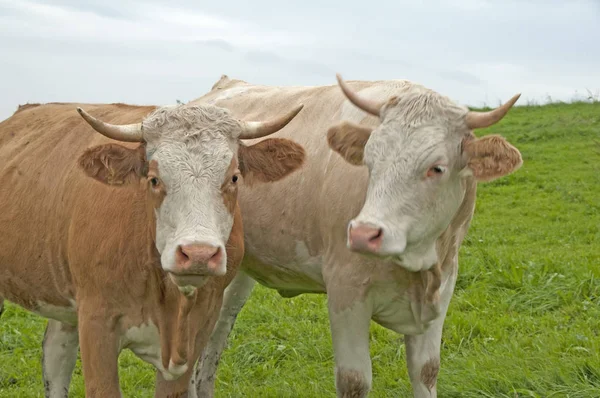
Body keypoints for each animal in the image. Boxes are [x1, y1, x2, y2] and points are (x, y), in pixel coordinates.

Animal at [195, 73, 524, 396]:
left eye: (437, 168)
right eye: (369, 161)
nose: (364, 234)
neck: (417, 267)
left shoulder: (443, 287)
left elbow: (426, 371)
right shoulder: (345, 289)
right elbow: (354, 381)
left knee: (216, 332)